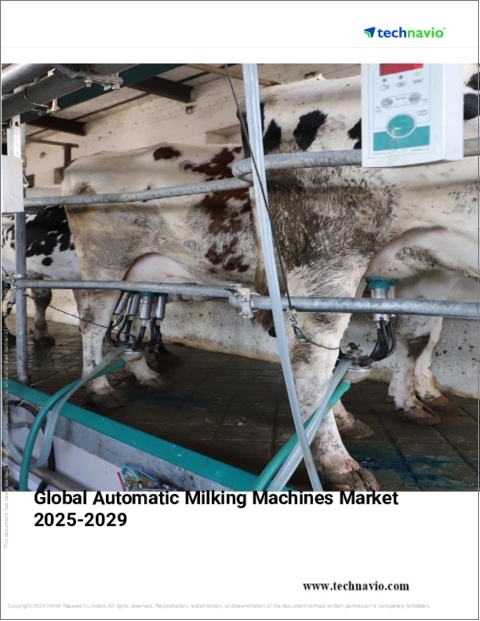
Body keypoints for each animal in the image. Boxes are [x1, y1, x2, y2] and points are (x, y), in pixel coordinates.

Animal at [57, 63, 477, 491]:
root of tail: (85, 164)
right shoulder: (429, 270)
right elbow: (416, 341)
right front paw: (410, 400)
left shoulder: (428, 274)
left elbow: (422, 339)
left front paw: (414, 401)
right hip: (113, 261)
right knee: (95, 323)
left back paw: (144, 375)